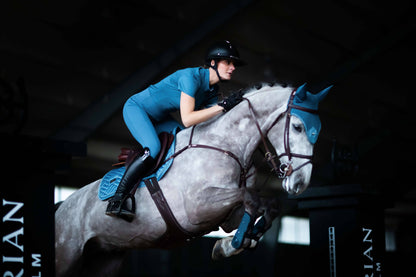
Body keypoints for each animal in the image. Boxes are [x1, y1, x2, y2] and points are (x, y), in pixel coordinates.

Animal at [55, 82, 330, 276]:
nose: (300, 183)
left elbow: (267, 205)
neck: (227, 145)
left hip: (105, 259)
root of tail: (61, 207)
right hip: (66, 257)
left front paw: (234, 243)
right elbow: (250, 198)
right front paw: (235, 243)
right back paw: (117, 204)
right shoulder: (197, 208)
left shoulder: (227, 217)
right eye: (298, 127)